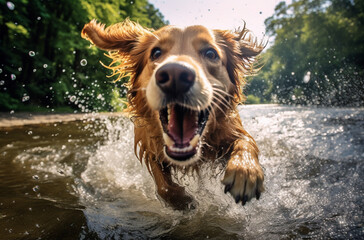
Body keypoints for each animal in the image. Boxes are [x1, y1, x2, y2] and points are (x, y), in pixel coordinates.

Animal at [82, 19, 264, 210]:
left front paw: (245, 171)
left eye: (210, 53)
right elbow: (164, 186)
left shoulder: (231, 129)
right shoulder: (149, 145)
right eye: (156, 52)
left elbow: (245, 142)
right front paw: (183, 201)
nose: (175, 75)